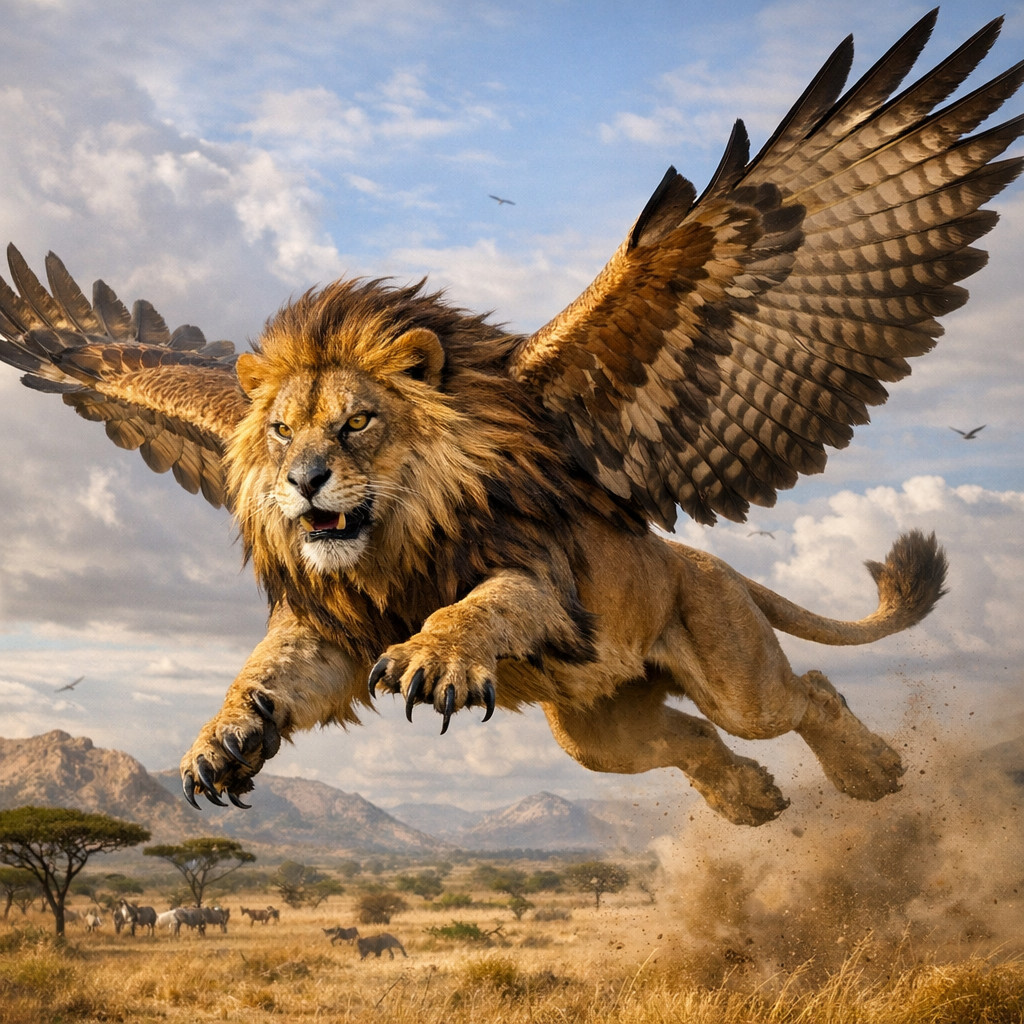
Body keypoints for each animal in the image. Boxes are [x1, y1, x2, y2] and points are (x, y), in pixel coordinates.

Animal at [0, 13, 1017, 826]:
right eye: (282, 433)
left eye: (357, 424)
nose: (304, 483)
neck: (393, 541)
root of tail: (711, 564)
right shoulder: (332, 627)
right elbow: (266, 672)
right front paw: (221, 740)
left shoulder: (539, 571)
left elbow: (483, 605)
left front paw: (434, 658)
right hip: (597, 729)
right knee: (691, 742)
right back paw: (752, 802)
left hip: (732, 670)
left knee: (803, 693)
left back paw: (873, 771)